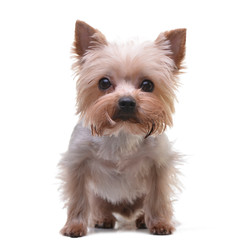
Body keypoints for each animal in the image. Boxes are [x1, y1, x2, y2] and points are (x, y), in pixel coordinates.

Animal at [59, 20, 187, 236]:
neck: (121, 132)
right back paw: (103, 218)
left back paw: (142, 219)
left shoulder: (158, 165)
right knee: (98, 204)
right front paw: (74, 226)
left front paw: (160, 223)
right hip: (99, 197)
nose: (127, 102)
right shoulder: (78, 162)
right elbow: (78, 198)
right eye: (104, 82)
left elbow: (157, 197)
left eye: (147, 85)